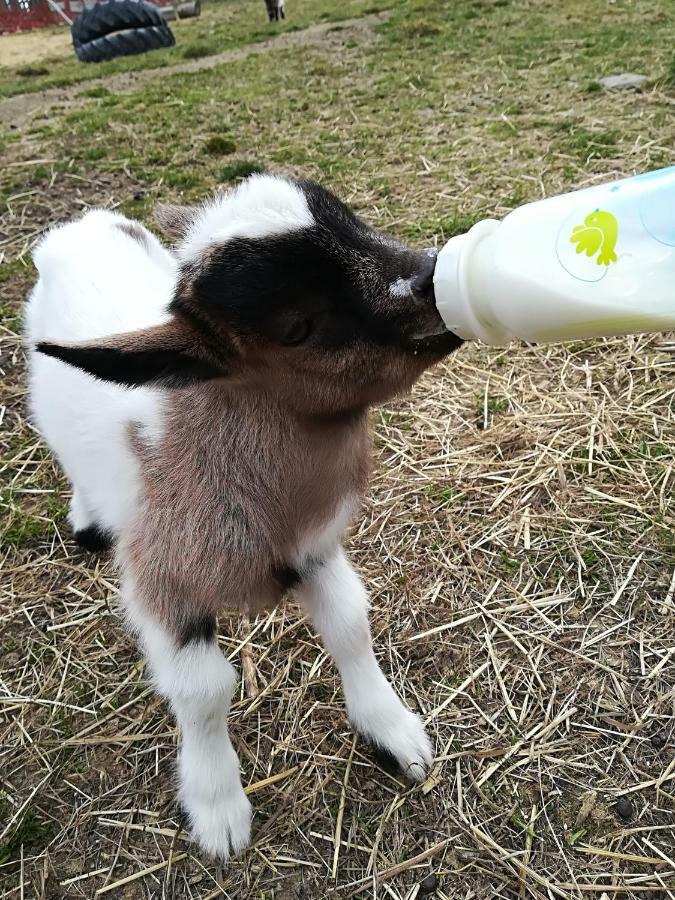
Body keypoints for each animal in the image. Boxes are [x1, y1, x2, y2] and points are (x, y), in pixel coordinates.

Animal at [23, 174, 462, 856]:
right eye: (296, 325)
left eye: (355, 223)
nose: (435, 276)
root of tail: (80, 228)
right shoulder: (165, 586)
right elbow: (204, 690)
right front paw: (218, 810)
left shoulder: (313, 550)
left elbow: (349, 624)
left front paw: (394, 735)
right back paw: (87, 519)